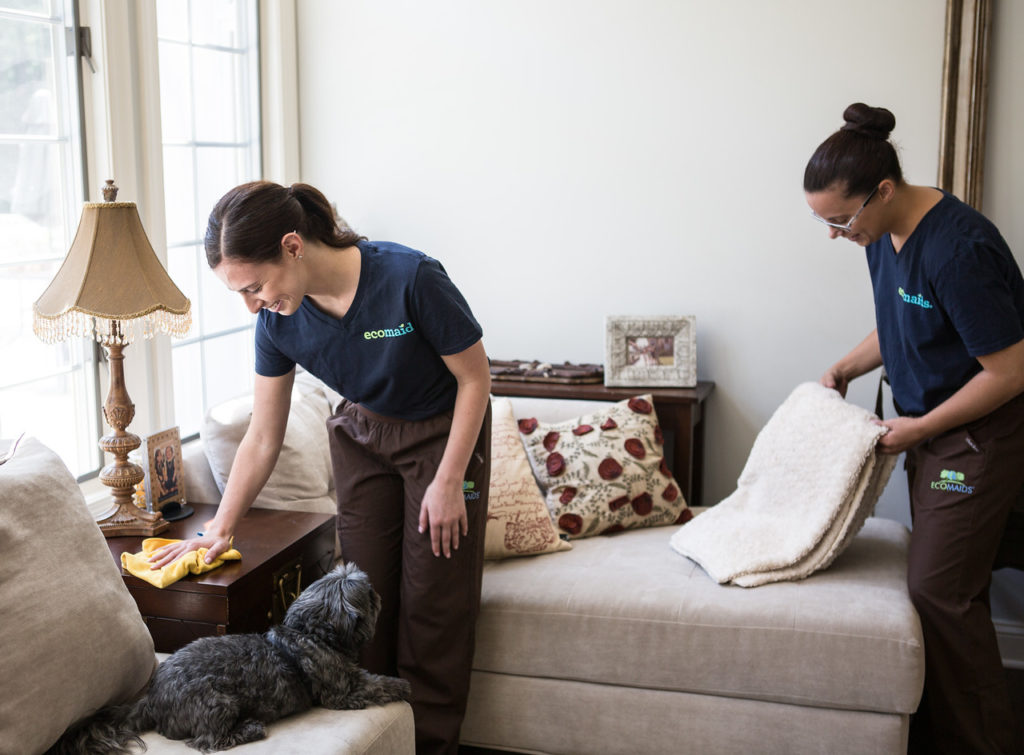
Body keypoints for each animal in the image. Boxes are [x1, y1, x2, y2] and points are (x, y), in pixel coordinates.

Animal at [47, 561, 407, 749]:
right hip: (218, 702)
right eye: (368, 594)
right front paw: (399, 686)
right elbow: (374, 684)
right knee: (207, 740)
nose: (377, 592)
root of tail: (152, 699)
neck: (312, 634)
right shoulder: (342, 692)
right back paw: (249, 730)